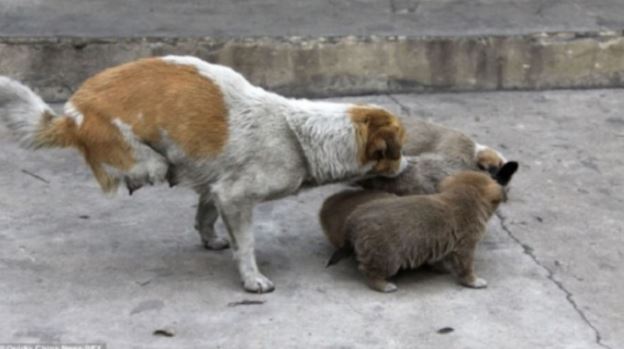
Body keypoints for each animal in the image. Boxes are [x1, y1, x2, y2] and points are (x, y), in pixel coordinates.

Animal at [0, 55, 408, 292]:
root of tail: (72, 115)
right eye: (398, 150)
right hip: (141, 156)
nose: (409, 164)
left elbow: (205, 214)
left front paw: (209, 239)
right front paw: (252, 280)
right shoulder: (236, 196)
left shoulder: (217, 187)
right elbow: (246, 245)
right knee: (142, 168)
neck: (297, 135)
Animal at [322, 163, 516, 290]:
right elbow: (466, 268)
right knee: (368, 270)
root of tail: (353, 219)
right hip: (387, 256)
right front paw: (474, 281)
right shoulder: (466, 246)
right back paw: (384, 285)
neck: (462, 196)